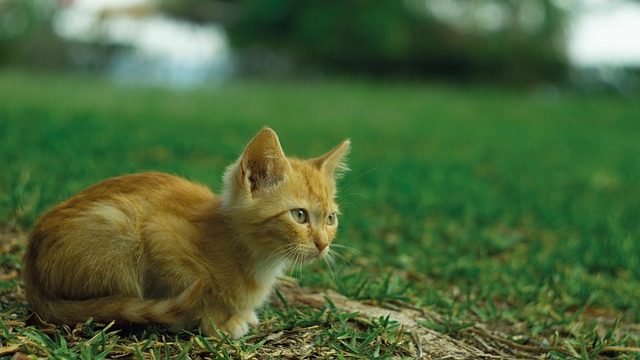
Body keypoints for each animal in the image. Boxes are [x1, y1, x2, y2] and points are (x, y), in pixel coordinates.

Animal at [22, 128, 350, 338]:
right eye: (299, 215)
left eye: (330, 219)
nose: (323, 244)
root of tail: (31, 276)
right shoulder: (160, 236)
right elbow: (196, 289)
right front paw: (215, 322)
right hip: (119, 228)